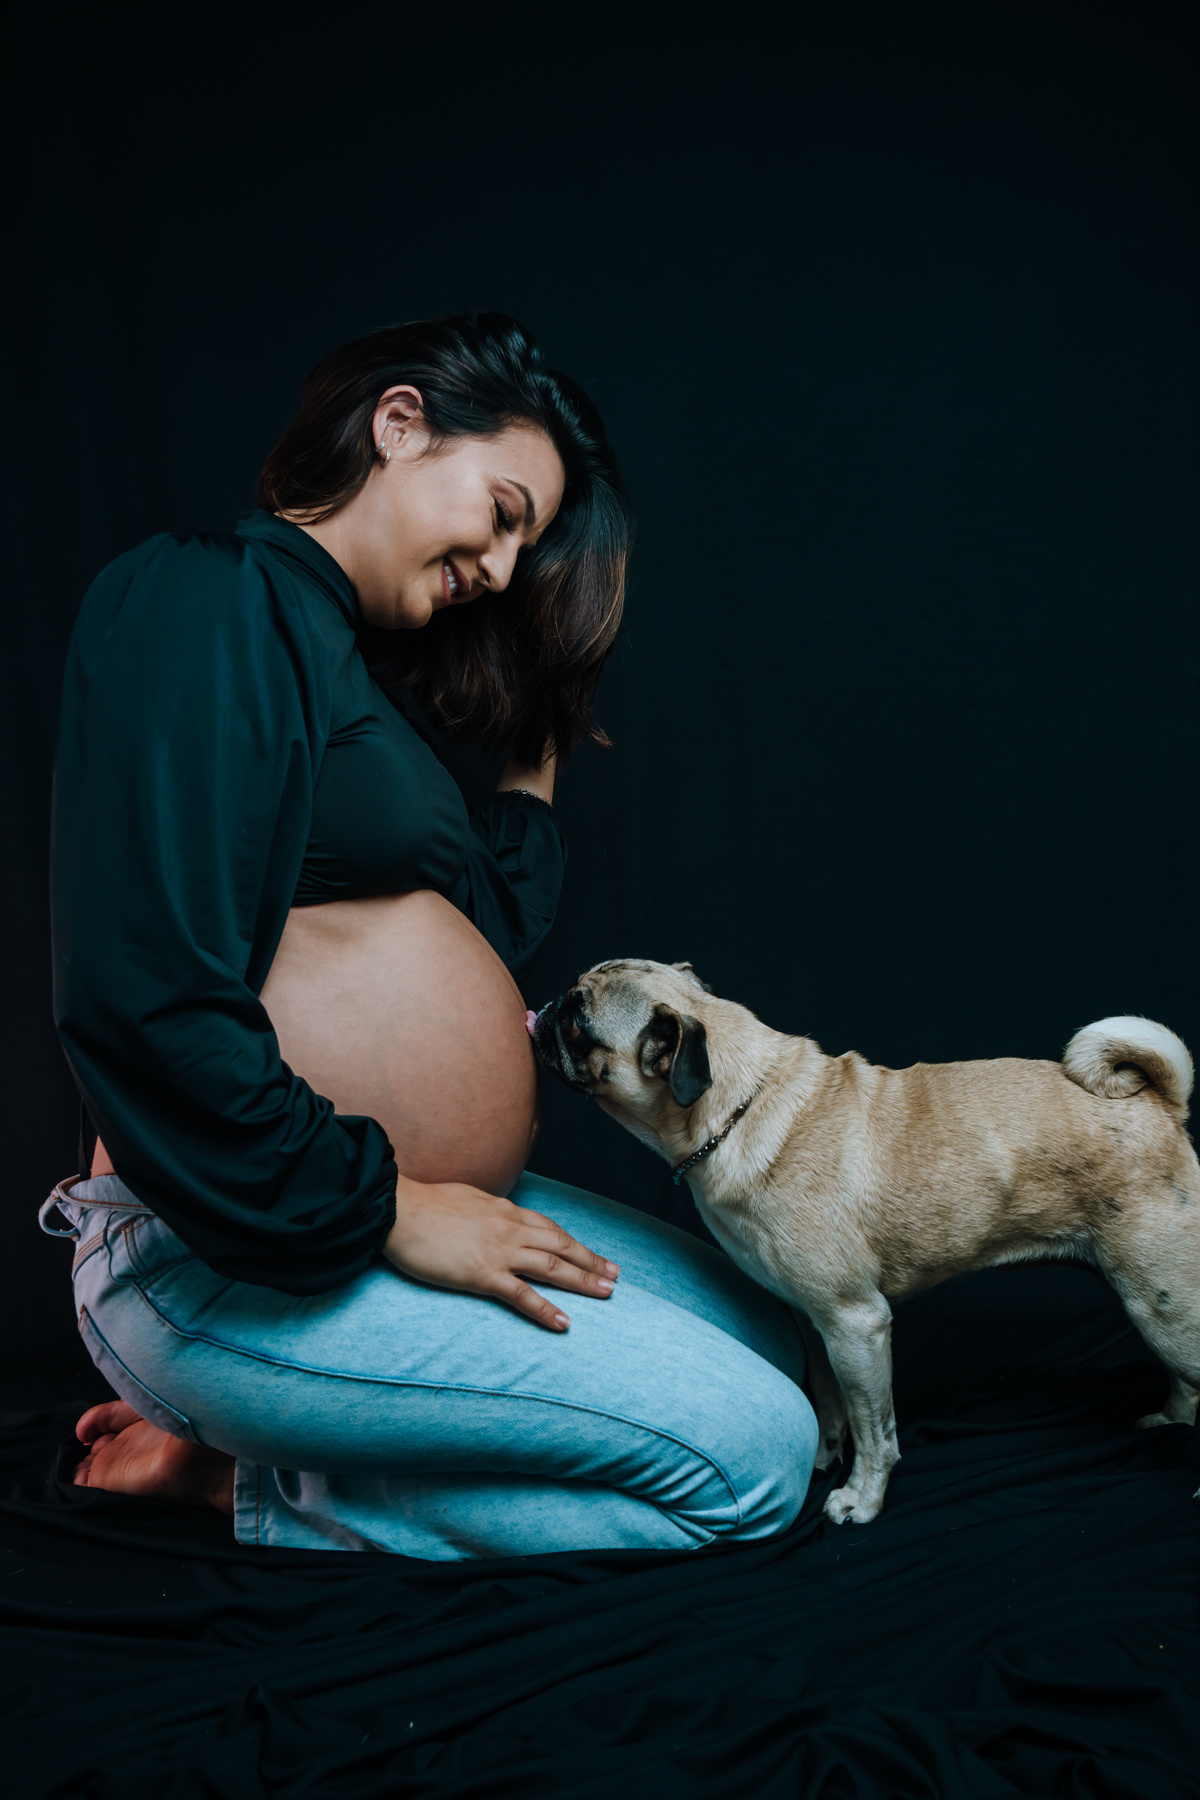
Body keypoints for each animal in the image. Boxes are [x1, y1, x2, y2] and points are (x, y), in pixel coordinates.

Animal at [533, 960, 1200, 1525]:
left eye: (577, 1021)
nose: (543, 1007)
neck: (740, 1108)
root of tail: (1158, 1101)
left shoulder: (855, 1325)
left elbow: (874, 1429)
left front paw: (861, 1498)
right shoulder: (814, 1322)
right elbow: (832, 1405)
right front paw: (826, 1459)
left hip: (1159, 1302)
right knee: (1186, 1385)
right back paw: (1169, 1422)